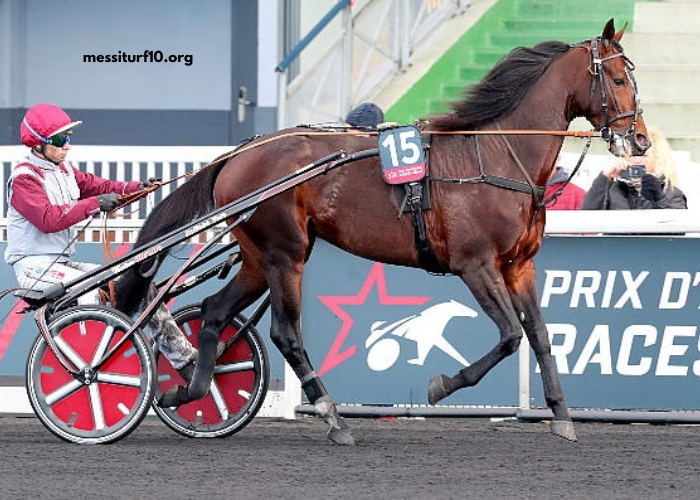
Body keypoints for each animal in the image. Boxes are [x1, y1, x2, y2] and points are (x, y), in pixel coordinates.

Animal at [116, 18, 652, 446]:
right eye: (619, 78)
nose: (641, 139)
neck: (497, 156)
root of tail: (241, 151)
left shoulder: (519, 266)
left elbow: (539, 336)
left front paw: (561, 415)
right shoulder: (475, 264)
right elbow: (508, 337)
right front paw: (441, 385)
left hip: (257, 256)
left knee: (212, 311)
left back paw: (189, 390)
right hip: (286, 254)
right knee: (285, 332)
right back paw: (332, 416)